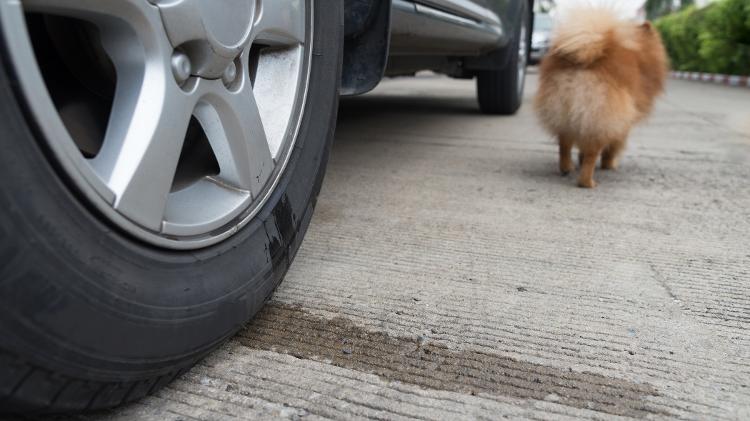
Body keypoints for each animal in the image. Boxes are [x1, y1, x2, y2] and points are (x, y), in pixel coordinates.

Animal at [536, 7, 668, 188]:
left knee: (564, 144)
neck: (640, 54)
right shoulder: (623, 124)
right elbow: (613, 147)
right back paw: (587, 182)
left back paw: (567, 168)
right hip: (600, 117)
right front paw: (609, 164)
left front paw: (580, 159)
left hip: (565, 114)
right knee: (592, 153)